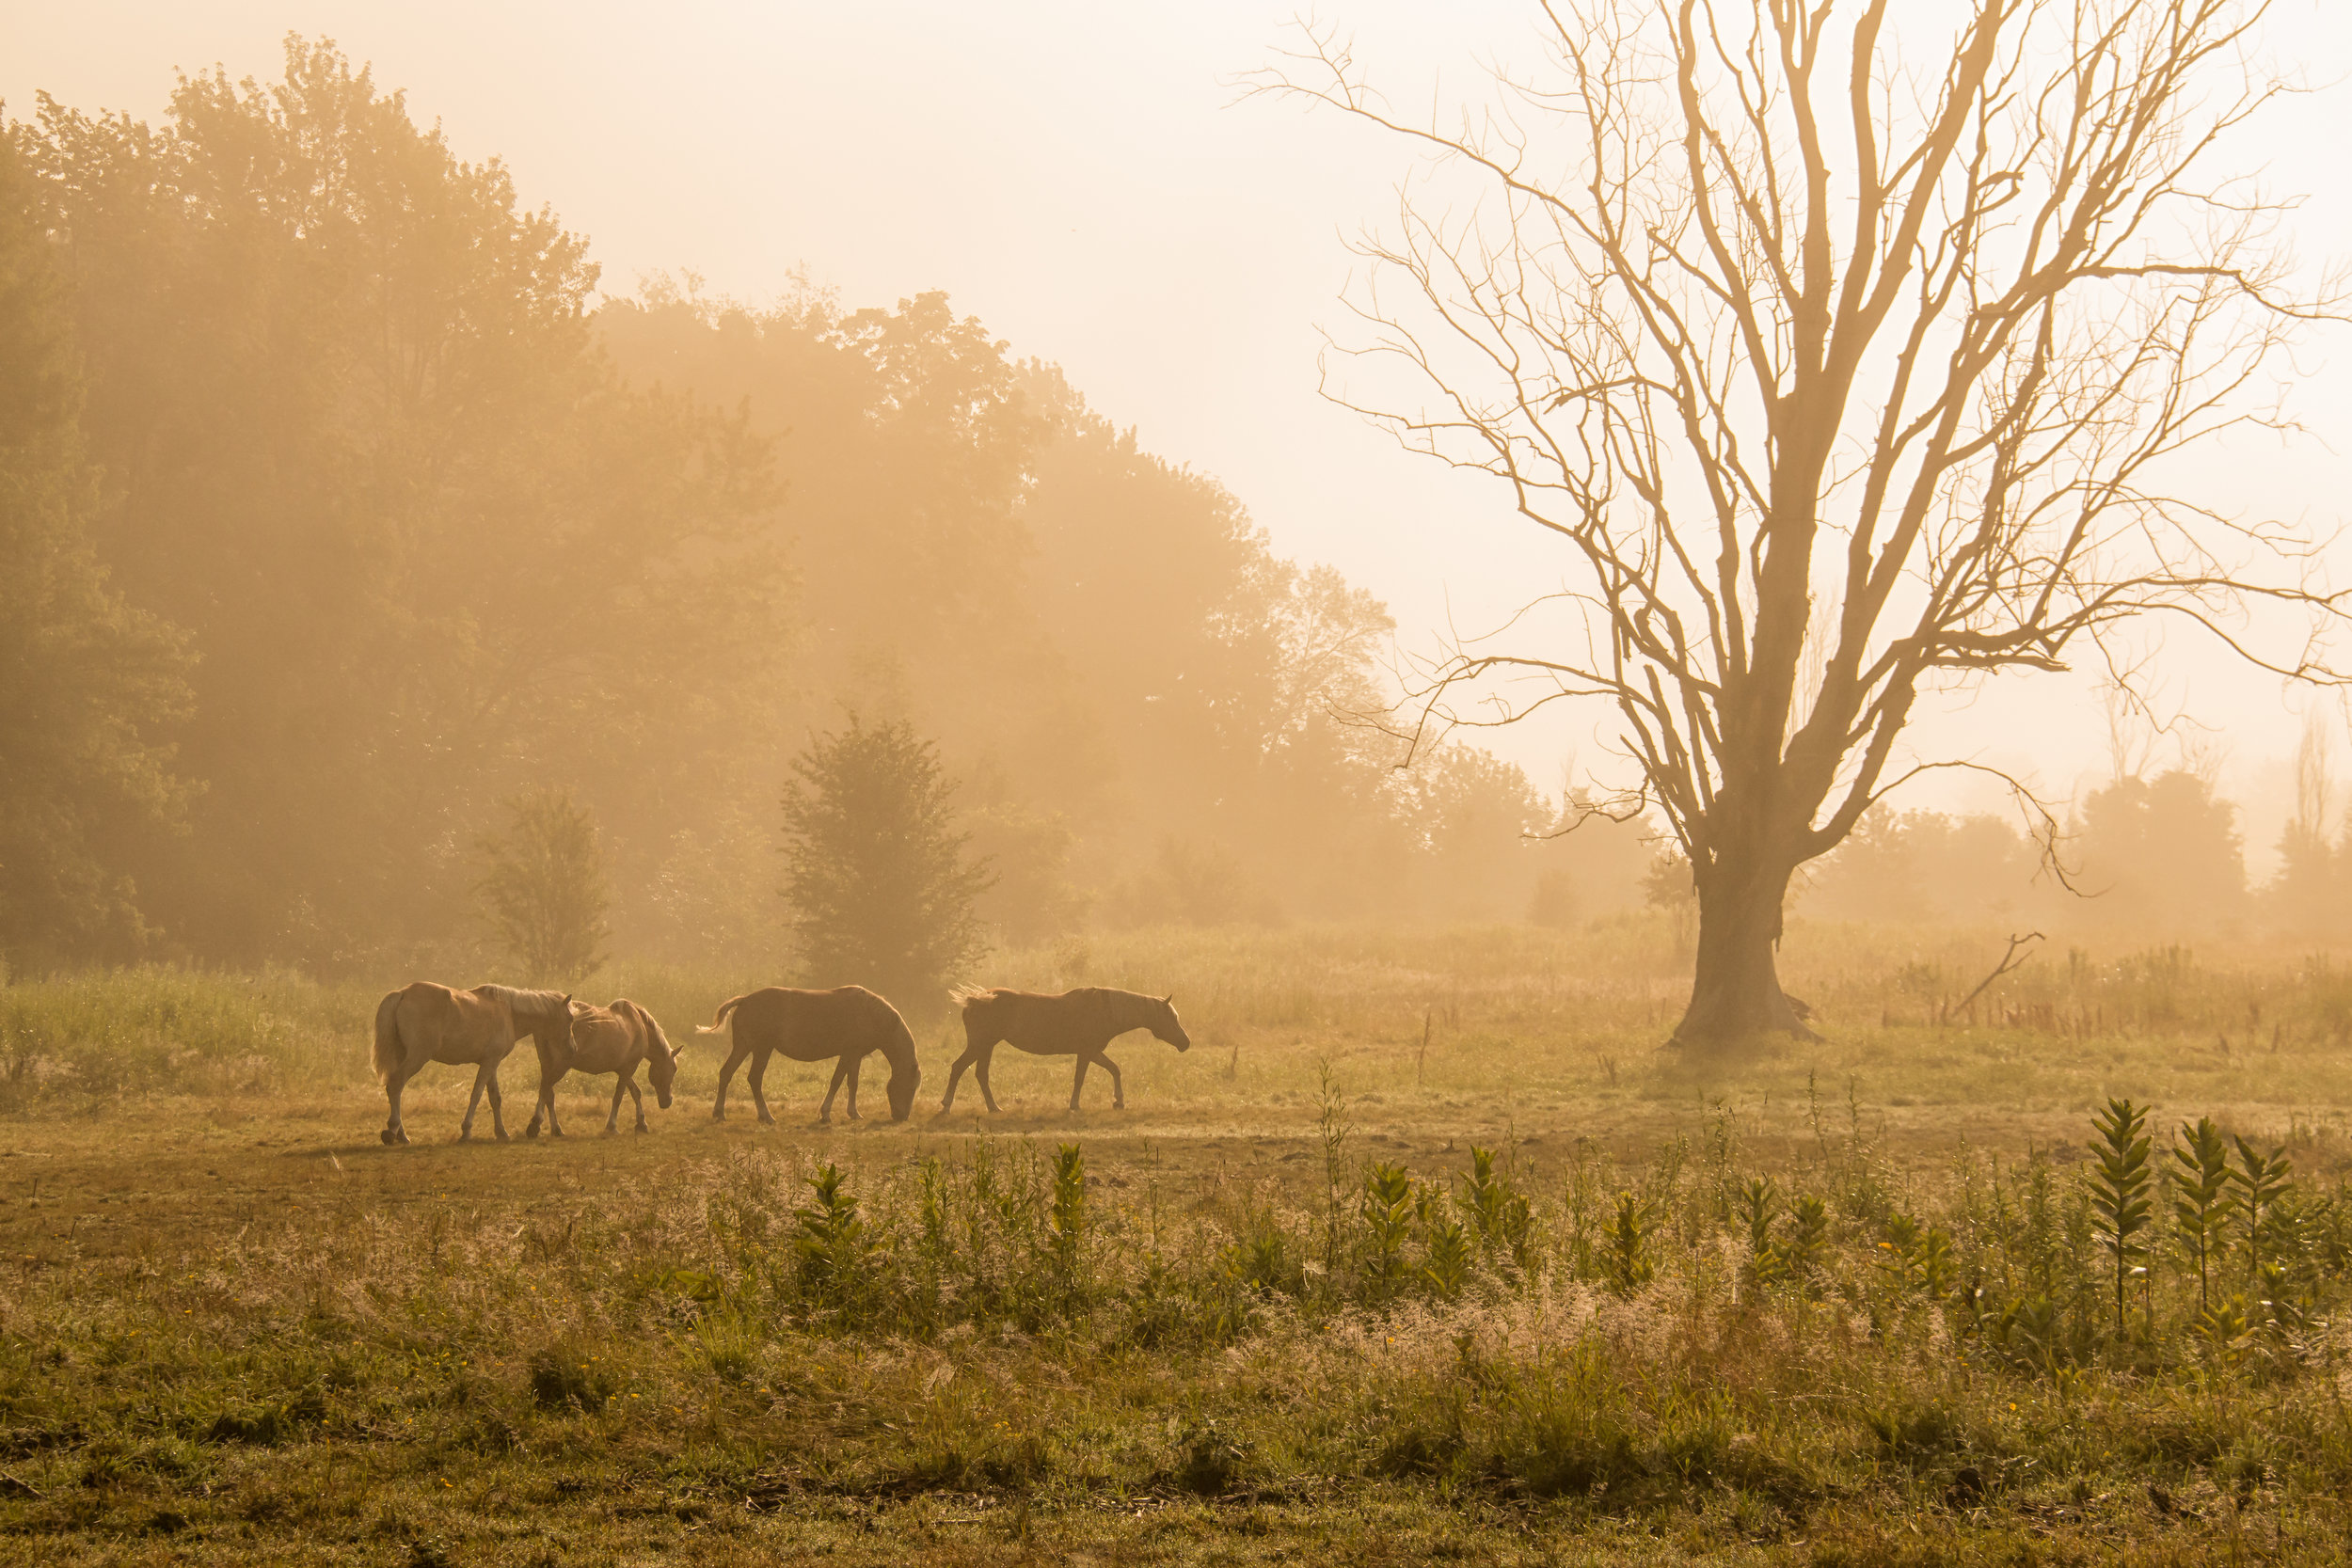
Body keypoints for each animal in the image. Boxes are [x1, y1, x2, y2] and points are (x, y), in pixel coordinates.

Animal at [369, 987, 571, 1147]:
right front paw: (466, 1131)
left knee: (395, 1090)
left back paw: (401, 1135)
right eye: (570, 1018)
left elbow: (495, 1098)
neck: (509, 1012)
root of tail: (403, 993)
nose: (572, 1047)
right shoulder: (489, 1063)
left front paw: (501, 1132)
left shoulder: (491, 1062)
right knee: (396, 1085)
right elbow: (476, 1095)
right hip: (417, 1057)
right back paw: (393, 1131)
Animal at [524, 1006, 682, 1142]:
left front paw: (642, 1123)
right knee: (545, 1088)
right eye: (674, 1069)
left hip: (547, 1063)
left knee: (548, 1094)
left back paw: (556, 1129)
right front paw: (612, 1126)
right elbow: (618, 1097)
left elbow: (635, 1092)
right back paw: (535, 1124)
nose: (668, 1101)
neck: (640, 1025)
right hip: (560, 1065)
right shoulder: (629, 1067)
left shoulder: (623, 1068)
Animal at [687, 987, 917, 1123]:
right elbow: (838, 1081)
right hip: (762, 1049)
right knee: (754, 1079)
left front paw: (853, 1113)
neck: (871, 1014)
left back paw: (720, 1113)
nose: (902, 1116)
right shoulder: (849, 1053)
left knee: (726, 1073)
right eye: (911, 1087)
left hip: (744, 1047)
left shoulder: (854, 1056)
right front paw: (826, 1114)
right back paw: (766, 1115)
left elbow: (851, 1082)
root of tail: (744, 1000)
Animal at [941, 987, 1195, 1109]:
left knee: (978, 1073)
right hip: (981, 1044)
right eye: (1171, 1018)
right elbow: (1080, 1078)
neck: (1105, 1009)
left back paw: (992, 1107)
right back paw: (950, 1104)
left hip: (985, 1046)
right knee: (961, 1068)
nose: (1186, 1042)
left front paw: (1119, 1101)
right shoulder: (1087, 1052)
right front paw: (1075, 1104)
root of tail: (974, 999)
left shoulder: (1093, 1052)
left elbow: (1114, 1069)